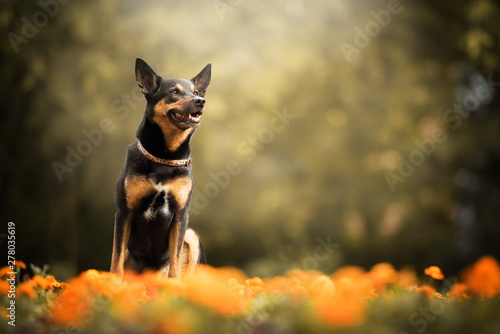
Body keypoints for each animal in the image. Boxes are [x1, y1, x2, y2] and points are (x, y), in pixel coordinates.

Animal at [110, 58, 210, 280]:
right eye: (174, 92)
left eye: (196, 92)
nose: (200, 101)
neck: (165, 157)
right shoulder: (124, 212)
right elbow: (116, 260)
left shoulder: (181, 214)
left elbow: (175, 264)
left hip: (191, 236)